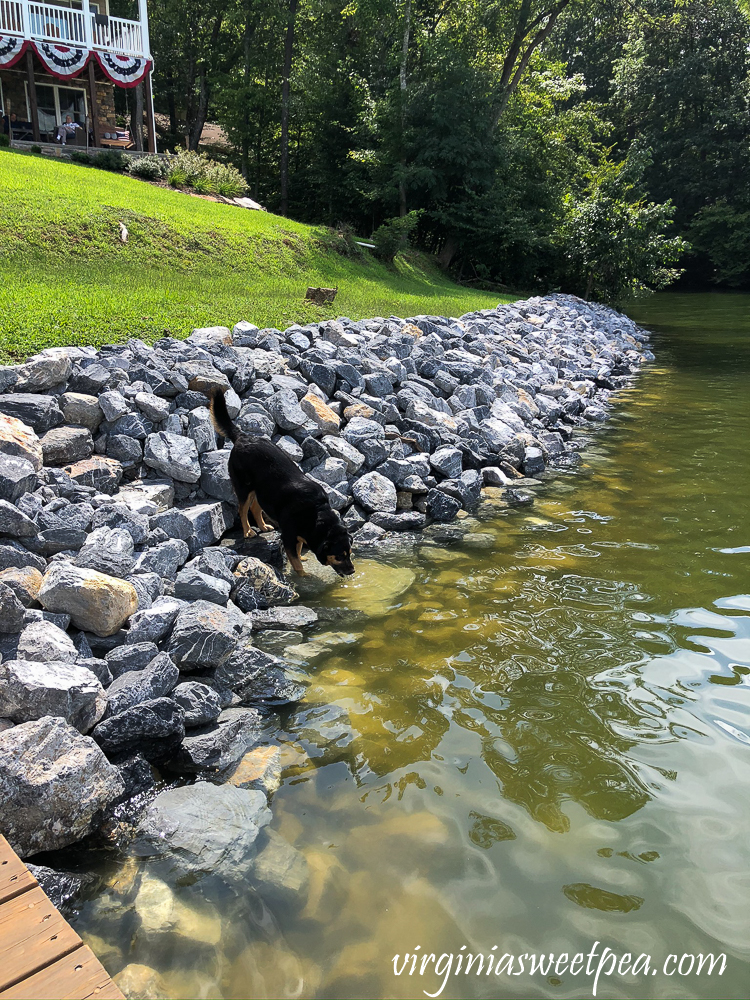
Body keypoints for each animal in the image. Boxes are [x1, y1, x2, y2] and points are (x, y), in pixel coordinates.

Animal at [209, 390, 356, 580]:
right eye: (339, 556)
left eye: (350, 553)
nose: (352, 571)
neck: (315, 513)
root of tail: (243, 437)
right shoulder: (288, 537)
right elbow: (296, 562)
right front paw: (303, 576)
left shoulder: (299, 536)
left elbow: (299, 551)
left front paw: (302, 558)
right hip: (244, 487)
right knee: (242, 510)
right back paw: (248, 531)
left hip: (263, 490)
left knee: (255, 507)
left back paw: (263, 526)